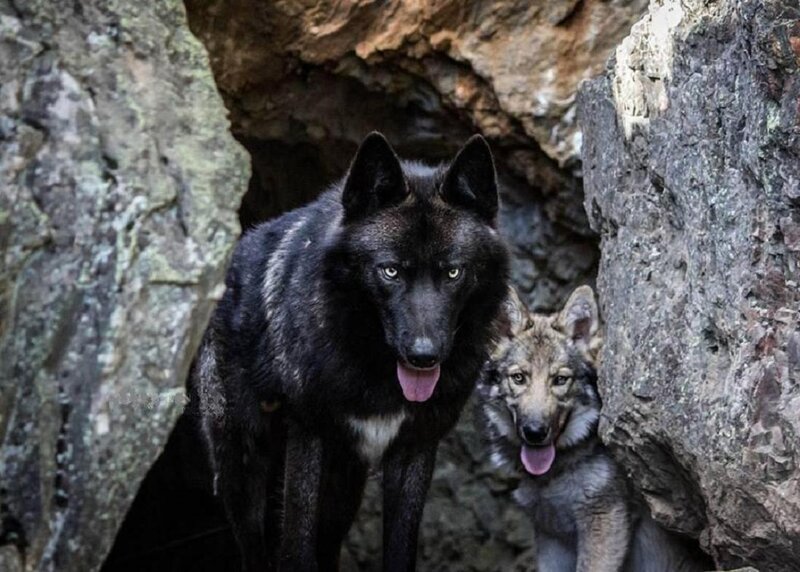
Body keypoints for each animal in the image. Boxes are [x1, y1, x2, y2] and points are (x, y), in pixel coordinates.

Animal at [189, 132, 509, 571]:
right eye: (390, 271)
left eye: (453, 272)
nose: (423, 356)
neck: (377, 372)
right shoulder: (309, 435)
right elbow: (295, 547)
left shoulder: (417, 446)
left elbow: (400, 550)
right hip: (244, 467)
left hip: (344, 487)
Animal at [477, 286, 712, 572]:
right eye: (519, 378)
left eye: (560, 380)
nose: (534, 431)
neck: (553, 475)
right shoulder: (550, 536)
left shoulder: (604, 520)